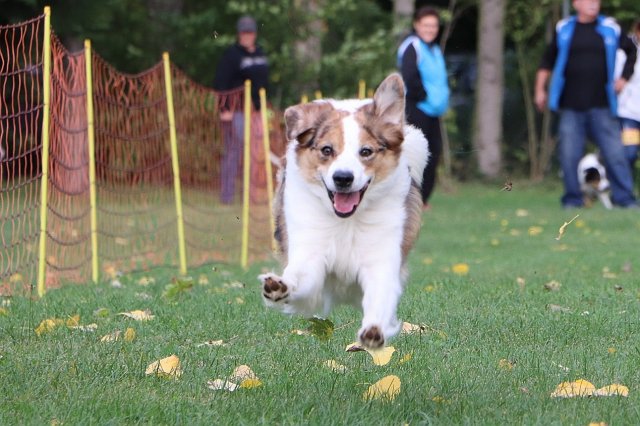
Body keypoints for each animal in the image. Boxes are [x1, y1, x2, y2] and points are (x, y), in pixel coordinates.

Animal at [260, 74, 430, 350]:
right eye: (327, 150)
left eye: (366, 151)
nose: (342, 178)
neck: (347, 222)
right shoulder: (311, 251)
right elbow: (300, 277)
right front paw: (279, 287)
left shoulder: (382, 257)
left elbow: (380, 295)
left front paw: (374, 330)